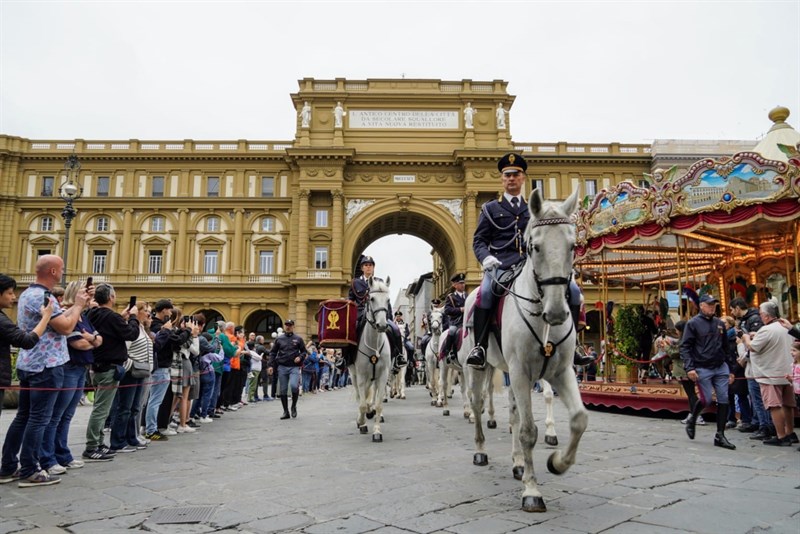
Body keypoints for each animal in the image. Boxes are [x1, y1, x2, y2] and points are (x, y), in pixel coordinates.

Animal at [348, 276, 392, 444]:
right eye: (371, 299)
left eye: (388, 300)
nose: (382, 325)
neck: (374, 344)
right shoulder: (361, 375)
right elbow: (361, 404)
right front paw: (362, 422)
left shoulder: (383, 375)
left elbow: (378, 405)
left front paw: (377, 432)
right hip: (354, 374)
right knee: (360, 395)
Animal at [462, 189, 588, 516]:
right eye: (535, 246)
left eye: (573, 245)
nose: (555, 312)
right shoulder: (520, 372)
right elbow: (529, 431)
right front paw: (532, 491)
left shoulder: (561, 371)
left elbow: (579, 419)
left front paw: (557, 463)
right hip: (479, 368)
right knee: (478, 405)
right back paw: (480, 451)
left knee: (514, 413)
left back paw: (518, 463)